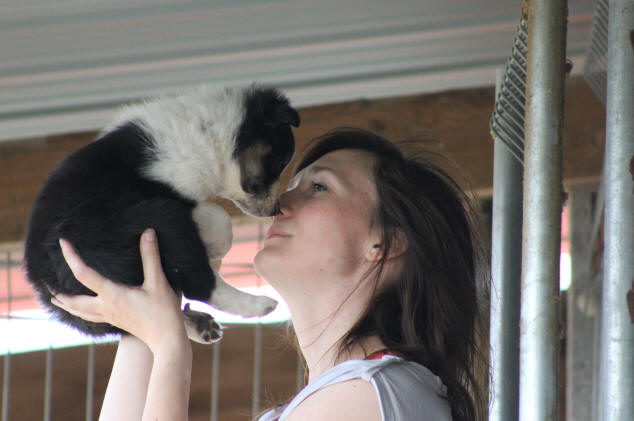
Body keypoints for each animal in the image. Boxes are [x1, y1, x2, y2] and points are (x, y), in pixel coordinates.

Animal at [24, 83, 298, 342]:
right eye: (280, 161)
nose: (276, 210)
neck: (212, 133)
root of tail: (44, 281)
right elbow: (218, 217)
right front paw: (213, 245)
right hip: (155, 221)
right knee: (200, 284)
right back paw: (258, 304)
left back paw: (200, 325)